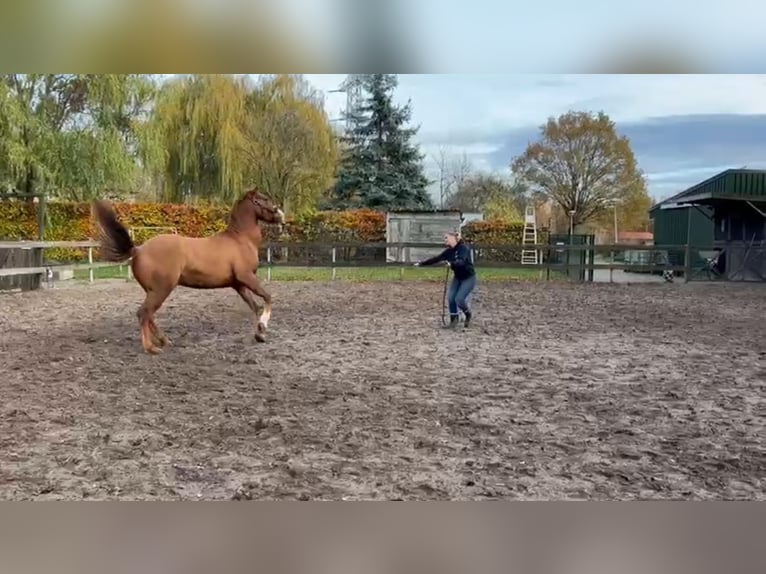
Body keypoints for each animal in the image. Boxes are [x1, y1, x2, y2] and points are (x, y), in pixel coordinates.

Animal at [92, 187, 285, 355]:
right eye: (264, 199)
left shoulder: (238, 284)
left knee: (149, 315)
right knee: (144, 313)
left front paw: (260, 333)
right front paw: (263, 327)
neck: (240, 240)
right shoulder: (246, 277)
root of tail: (138, 250)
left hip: (153, 291)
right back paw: (151, 348)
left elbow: (256, 307)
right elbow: (268, 298)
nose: (281, 218)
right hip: (162, 289)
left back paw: (165, 341)